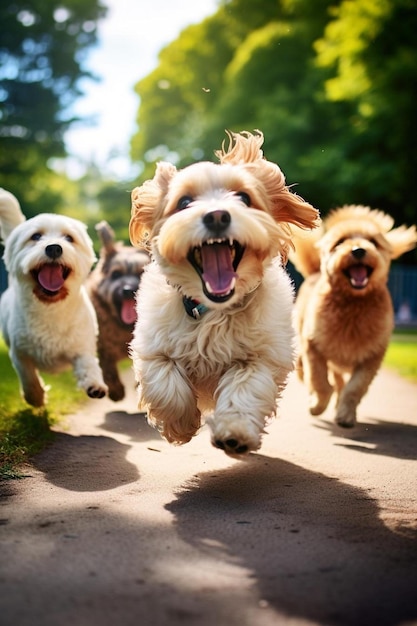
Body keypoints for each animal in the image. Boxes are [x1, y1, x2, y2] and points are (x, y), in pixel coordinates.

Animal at [0, 188, 107, 408]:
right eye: (36, 236)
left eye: (69, 238)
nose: (54, 247)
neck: (51, 307)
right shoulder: (19, 353)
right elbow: (28, 376)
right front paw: (35, 397)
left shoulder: (82, 346)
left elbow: (88, 364)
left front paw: (94, 383)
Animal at [86, 221, 150, 400]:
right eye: (116, 274)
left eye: (141, 273)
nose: (127, 290)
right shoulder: (103, 345)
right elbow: (107, 367)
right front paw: (115, 390)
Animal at [128, 132, 316, 454]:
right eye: (184, 202)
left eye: (244, 198)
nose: (217, 215)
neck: (212, 310)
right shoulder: (154, 347)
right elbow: (166, 384)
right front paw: (180, 425)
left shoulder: (260, 357)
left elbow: (245, 390)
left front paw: (235, 433)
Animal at [290, 204, 414, 424]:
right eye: (340, 242)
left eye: (373, 242)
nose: (358, 250)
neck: (353, 305)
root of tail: (314, 273)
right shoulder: (314, 347)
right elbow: (320, 382)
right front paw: (317, 405)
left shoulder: (372, 357)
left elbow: (355, 388)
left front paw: (346, 414)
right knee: (309, 374)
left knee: (340, 383)